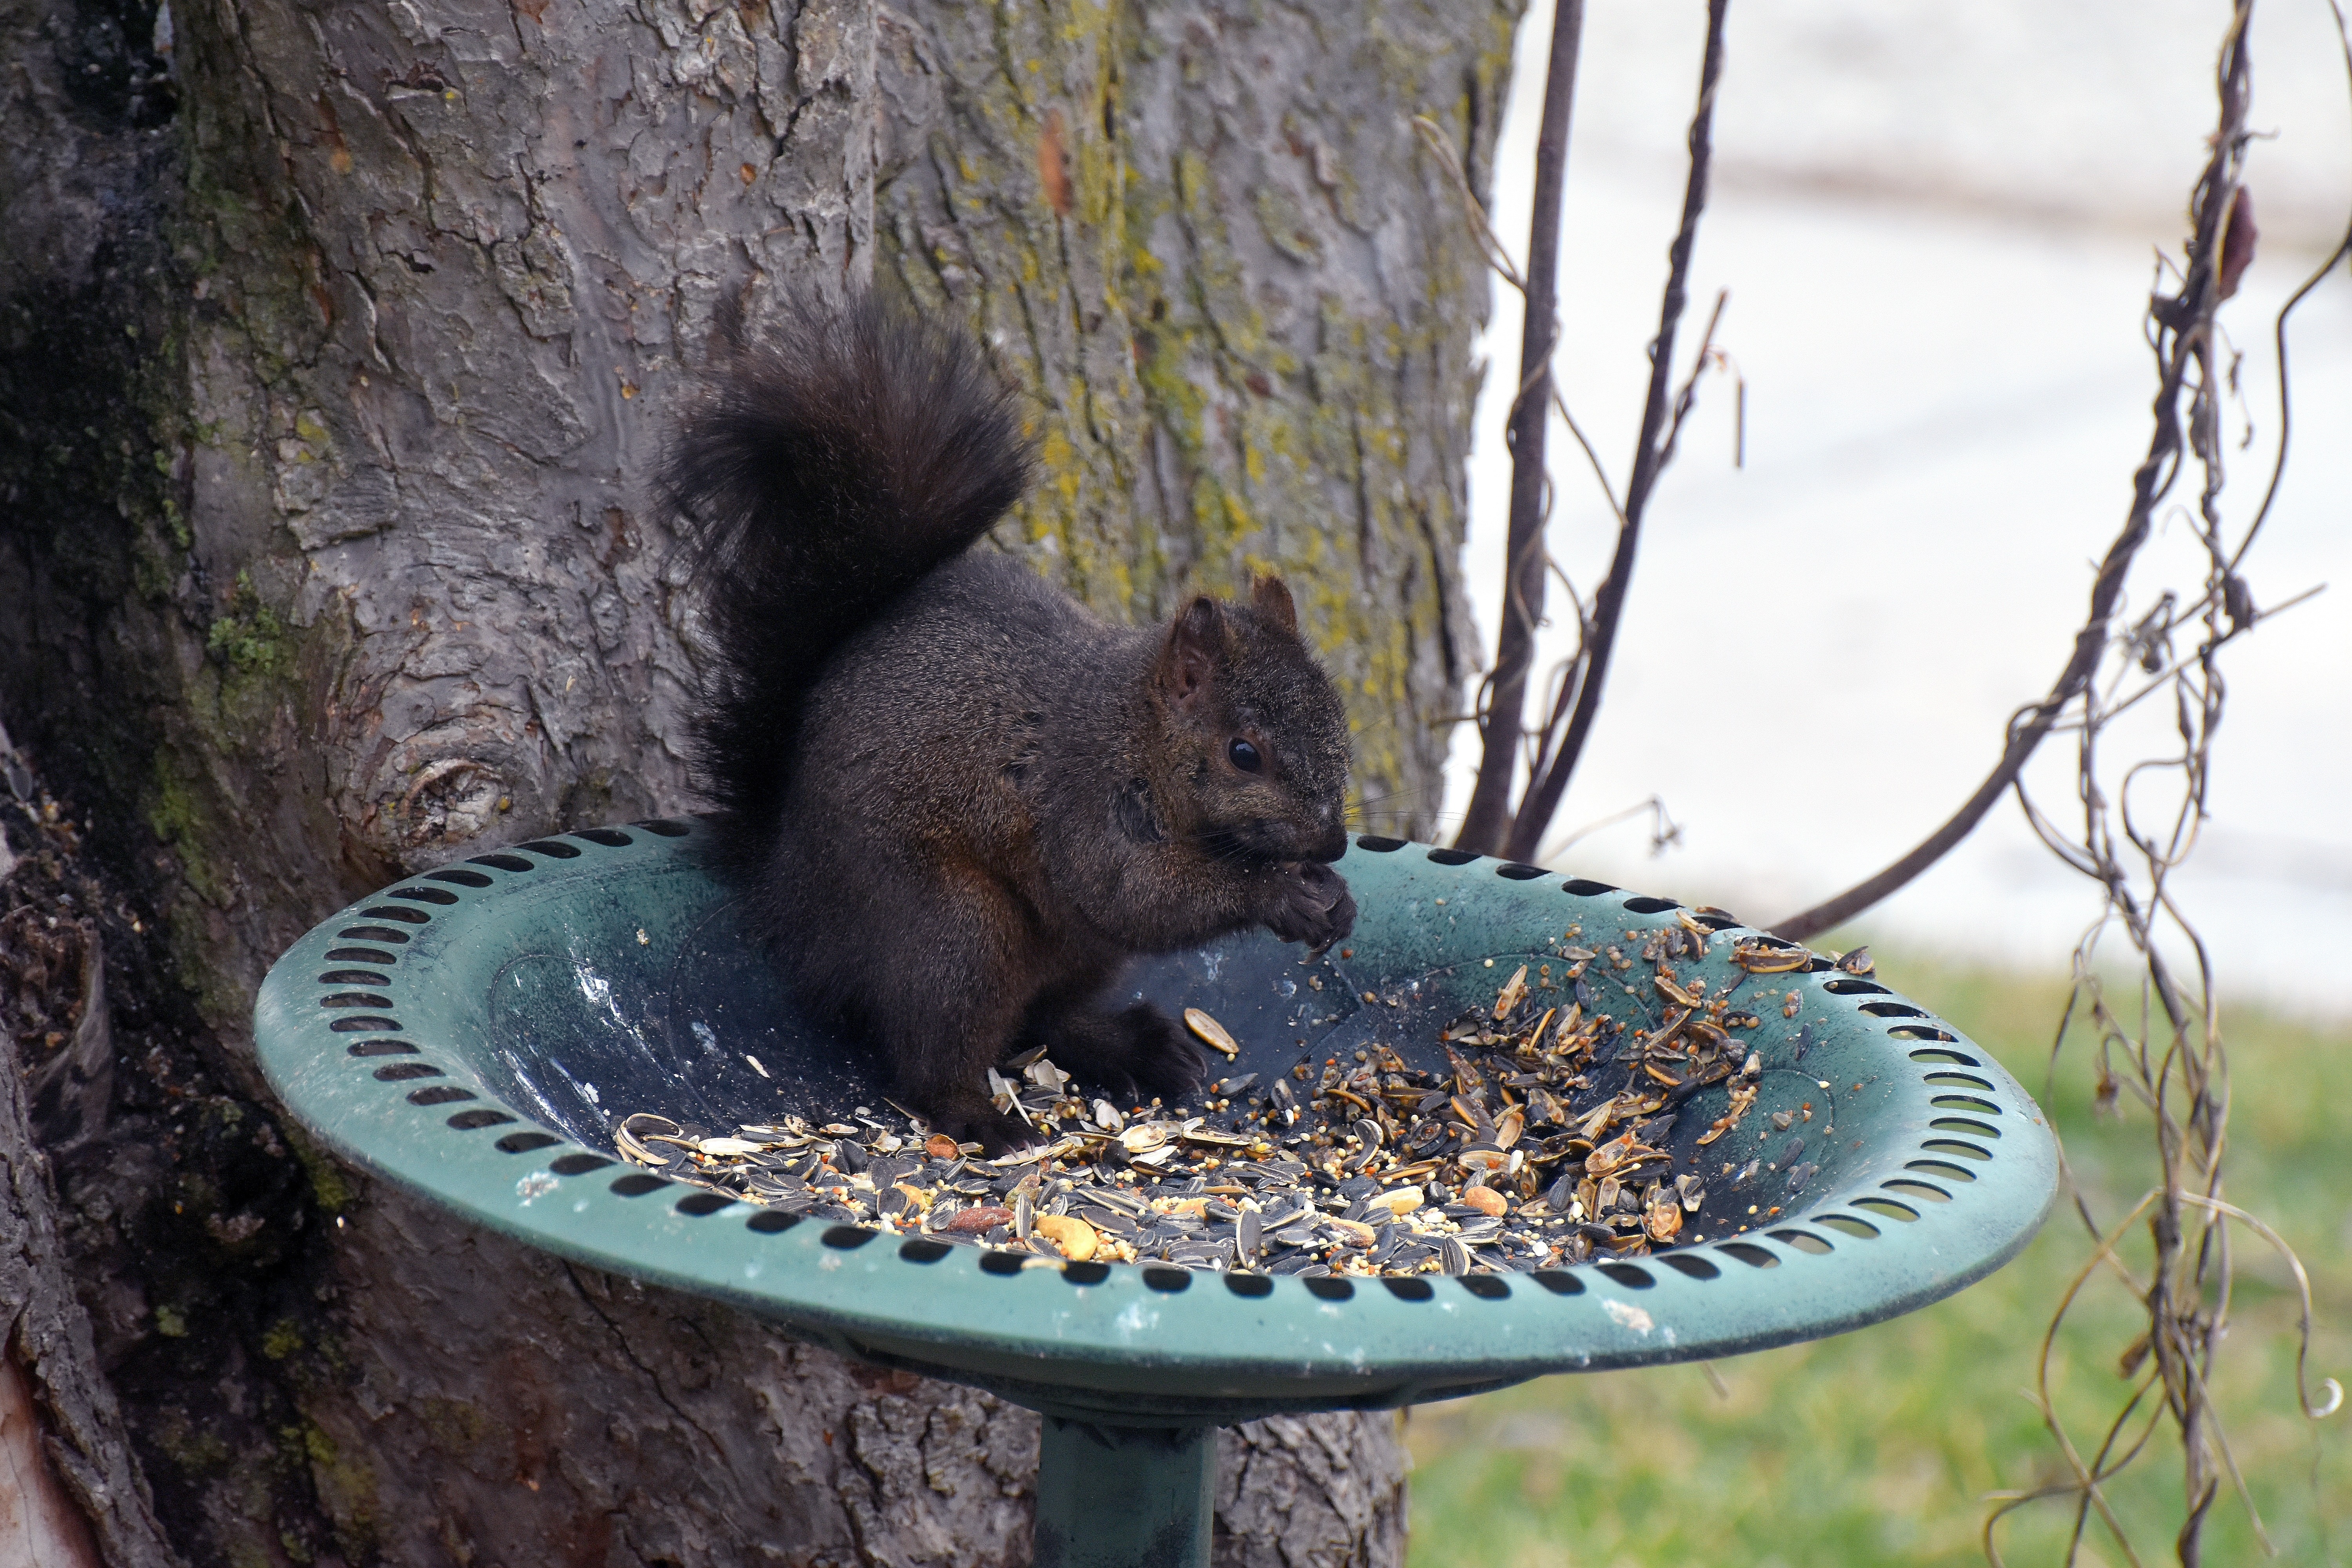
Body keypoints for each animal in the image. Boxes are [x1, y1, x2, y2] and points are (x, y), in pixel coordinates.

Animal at [668, 297, 1364, 1152]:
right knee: (939, 1049)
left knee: (1048, 1018)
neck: (1135, 732)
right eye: (1244, 753)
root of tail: (787, 890)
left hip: (1081, 956)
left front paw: (1336, 898)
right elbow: (1138, 896)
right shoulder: (1084, 806)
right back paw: (980, 1117)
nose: (1332, 842)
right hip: (959, 930)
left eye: (1338, 721)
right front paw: (1282, 893)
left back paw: (1132, 1045)